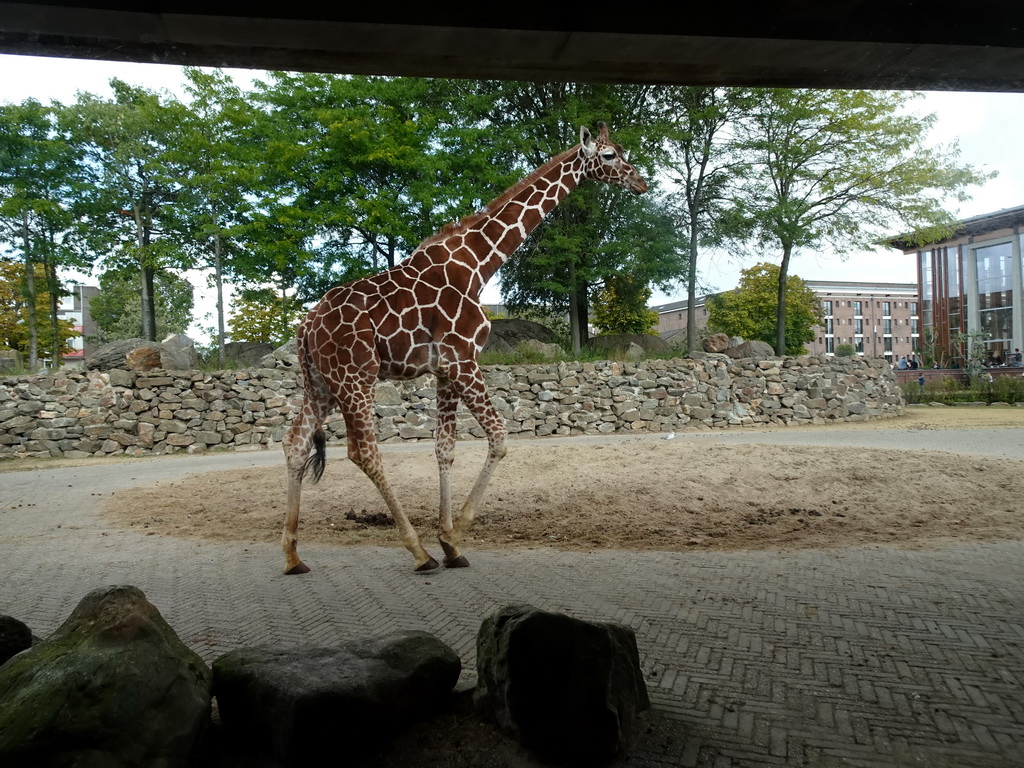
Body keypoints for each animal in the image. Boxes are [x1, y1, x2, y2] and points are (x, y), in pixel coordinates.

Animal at [280, 123, 647, 573]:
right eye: (610, 155)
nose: (640, 182)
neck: (477, 265)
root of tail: (306, 326)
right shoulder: (463, 359)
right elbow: (499, 437)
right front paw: (452, 537)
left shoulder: (444, 369)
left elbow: (445, 449)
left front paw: (449, 542)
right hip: (355, 378)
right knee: (363, 452)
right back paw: (418, 552)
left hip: (321, 383)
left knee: (296, 443)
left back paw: (293, 555)